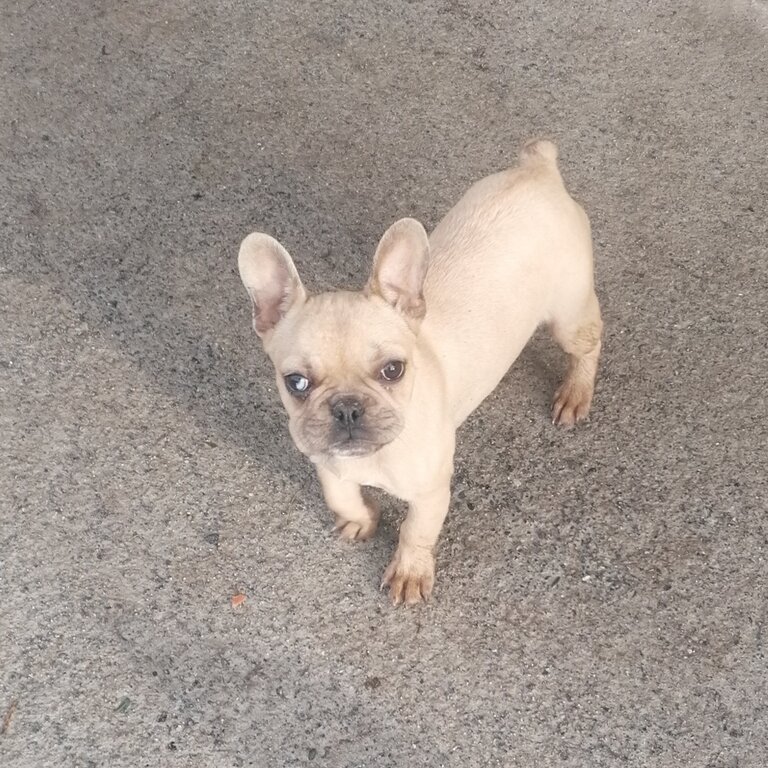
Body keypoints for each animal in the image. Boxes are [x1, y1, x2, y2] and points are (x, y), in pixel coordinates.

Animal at [237, 140, 604, 608]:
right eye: (296, 382)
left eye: (393, 370)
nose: (347, 409)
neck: (374, 456)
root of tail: (538, 170)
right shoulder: (325, 461)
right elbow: (340, 495)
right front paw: (360, 518)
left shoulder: (431, 492)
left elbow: (415, 532)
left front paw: (409, 571)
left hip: (569, 317)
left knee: (590, 343)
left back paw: (576, 391)